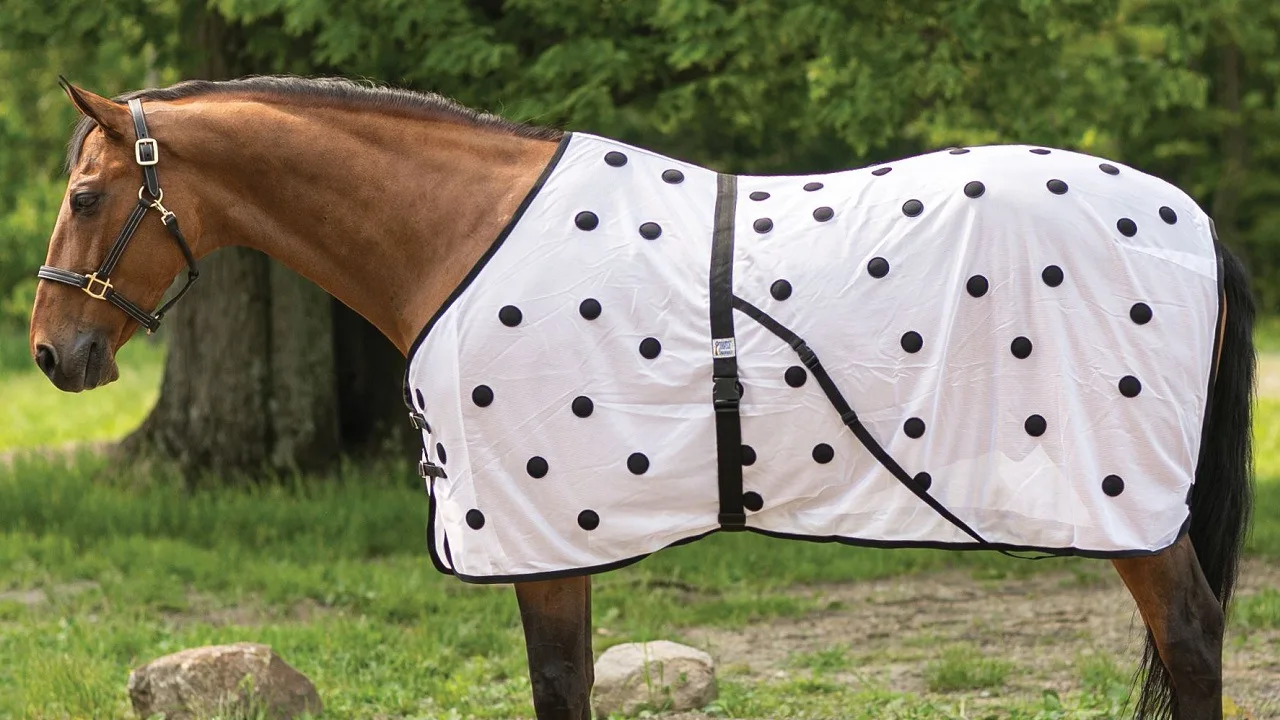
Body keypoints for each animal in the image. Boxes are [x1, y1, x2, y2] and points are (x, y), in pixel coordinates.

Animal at [28, 76, 1254, 720]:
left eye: (86, 197)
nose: (51, 355)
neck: (455, 236)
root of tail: (1196, 222)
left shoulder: (539, 535)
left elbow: (558, 685)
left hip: (1131, 505)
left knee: (1192, 640)